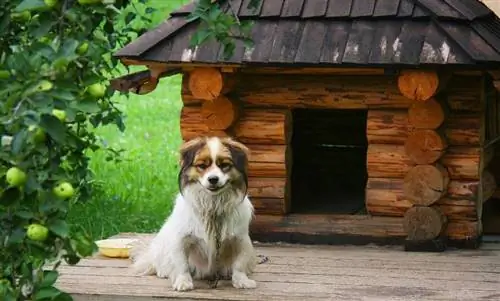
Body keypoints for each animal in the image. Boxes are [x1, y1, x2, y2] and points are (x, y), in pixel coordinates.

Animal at [129, 136, 258, 290]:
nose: (213, 179)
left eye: (224, 165)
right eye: (202, 166)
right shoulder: (181, 240)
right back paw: (163, 271)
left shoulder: (241, 240)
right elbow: (182, 264)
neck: (213, 205)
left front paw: (241, 280)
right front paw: (183, 281)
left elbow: (239, 264)